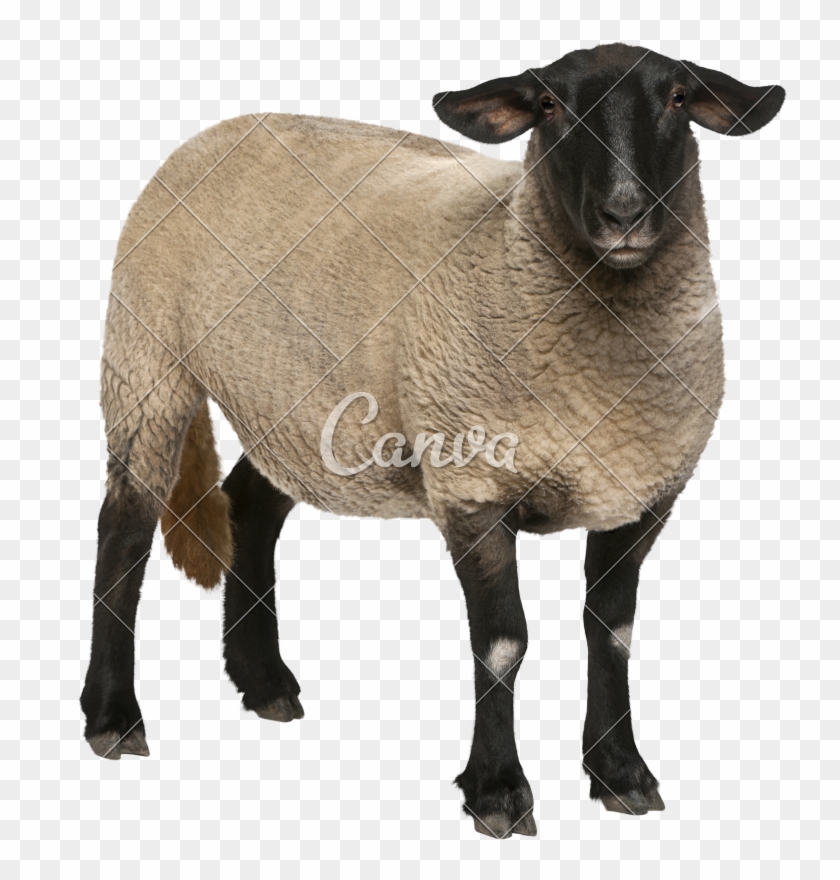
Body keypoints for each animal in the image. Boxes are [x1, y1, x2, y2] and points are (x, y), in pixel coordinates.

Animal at [81, 43, 784, 838]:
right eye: (550, 107)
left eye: (678, 97)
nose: (625, 213)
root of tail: (219, 130)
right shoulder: (471, 487)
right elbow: (503, 643)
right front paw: (499, 792)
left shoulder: (642, 494)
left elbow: (612, 633)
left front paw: (621, 772)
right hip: (148, 361)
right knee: (124, 528)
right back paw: (112, 717)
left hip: (296, 407)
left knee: (248, 508)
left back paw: (263, 683)